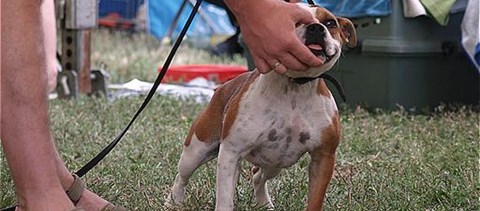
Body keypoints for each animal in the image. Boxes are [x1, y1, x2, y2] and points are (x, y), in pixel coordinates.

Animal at [169, 3, 356, 211]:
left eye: (330, 23)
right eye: (294, 20)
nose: (316, 28)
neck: (295, 87)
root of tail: (225, 86)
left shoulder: (323, 158)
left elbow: (314, 200)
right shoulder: (230, 153)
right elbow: (224, 199)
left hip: (275, 163)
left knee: (258, 176)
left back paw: (264, 203)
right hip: (196, 150)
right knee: (181, 177)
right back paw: (173, 201)